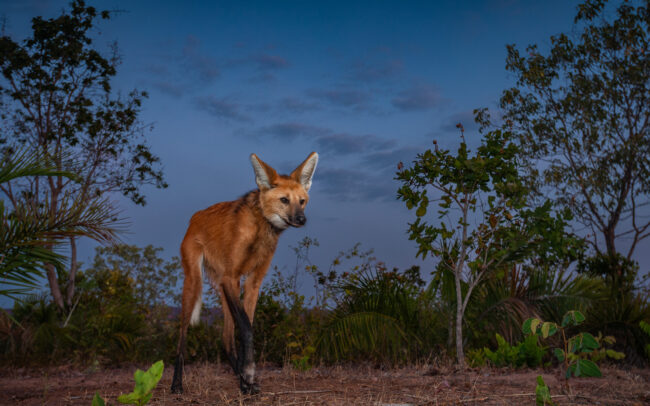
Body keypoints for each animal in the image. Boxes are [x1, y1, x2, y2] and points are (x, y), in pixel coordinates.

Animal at [171, 152, 318, 395]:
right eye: (284, 200)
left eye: (302, 201)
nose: (301, 219)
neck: (261, 230)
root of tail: (194, 217)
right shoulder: (231, 278)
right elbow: (247, 329)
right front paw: (248, 373)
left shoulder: (250, 281)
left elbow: (246, 327)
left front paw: (246, 380)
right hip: (195, 281)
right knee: (182, 333)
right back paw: (177, 384)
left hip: (226, 287)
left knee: (226, 338)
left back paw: (240, 380)